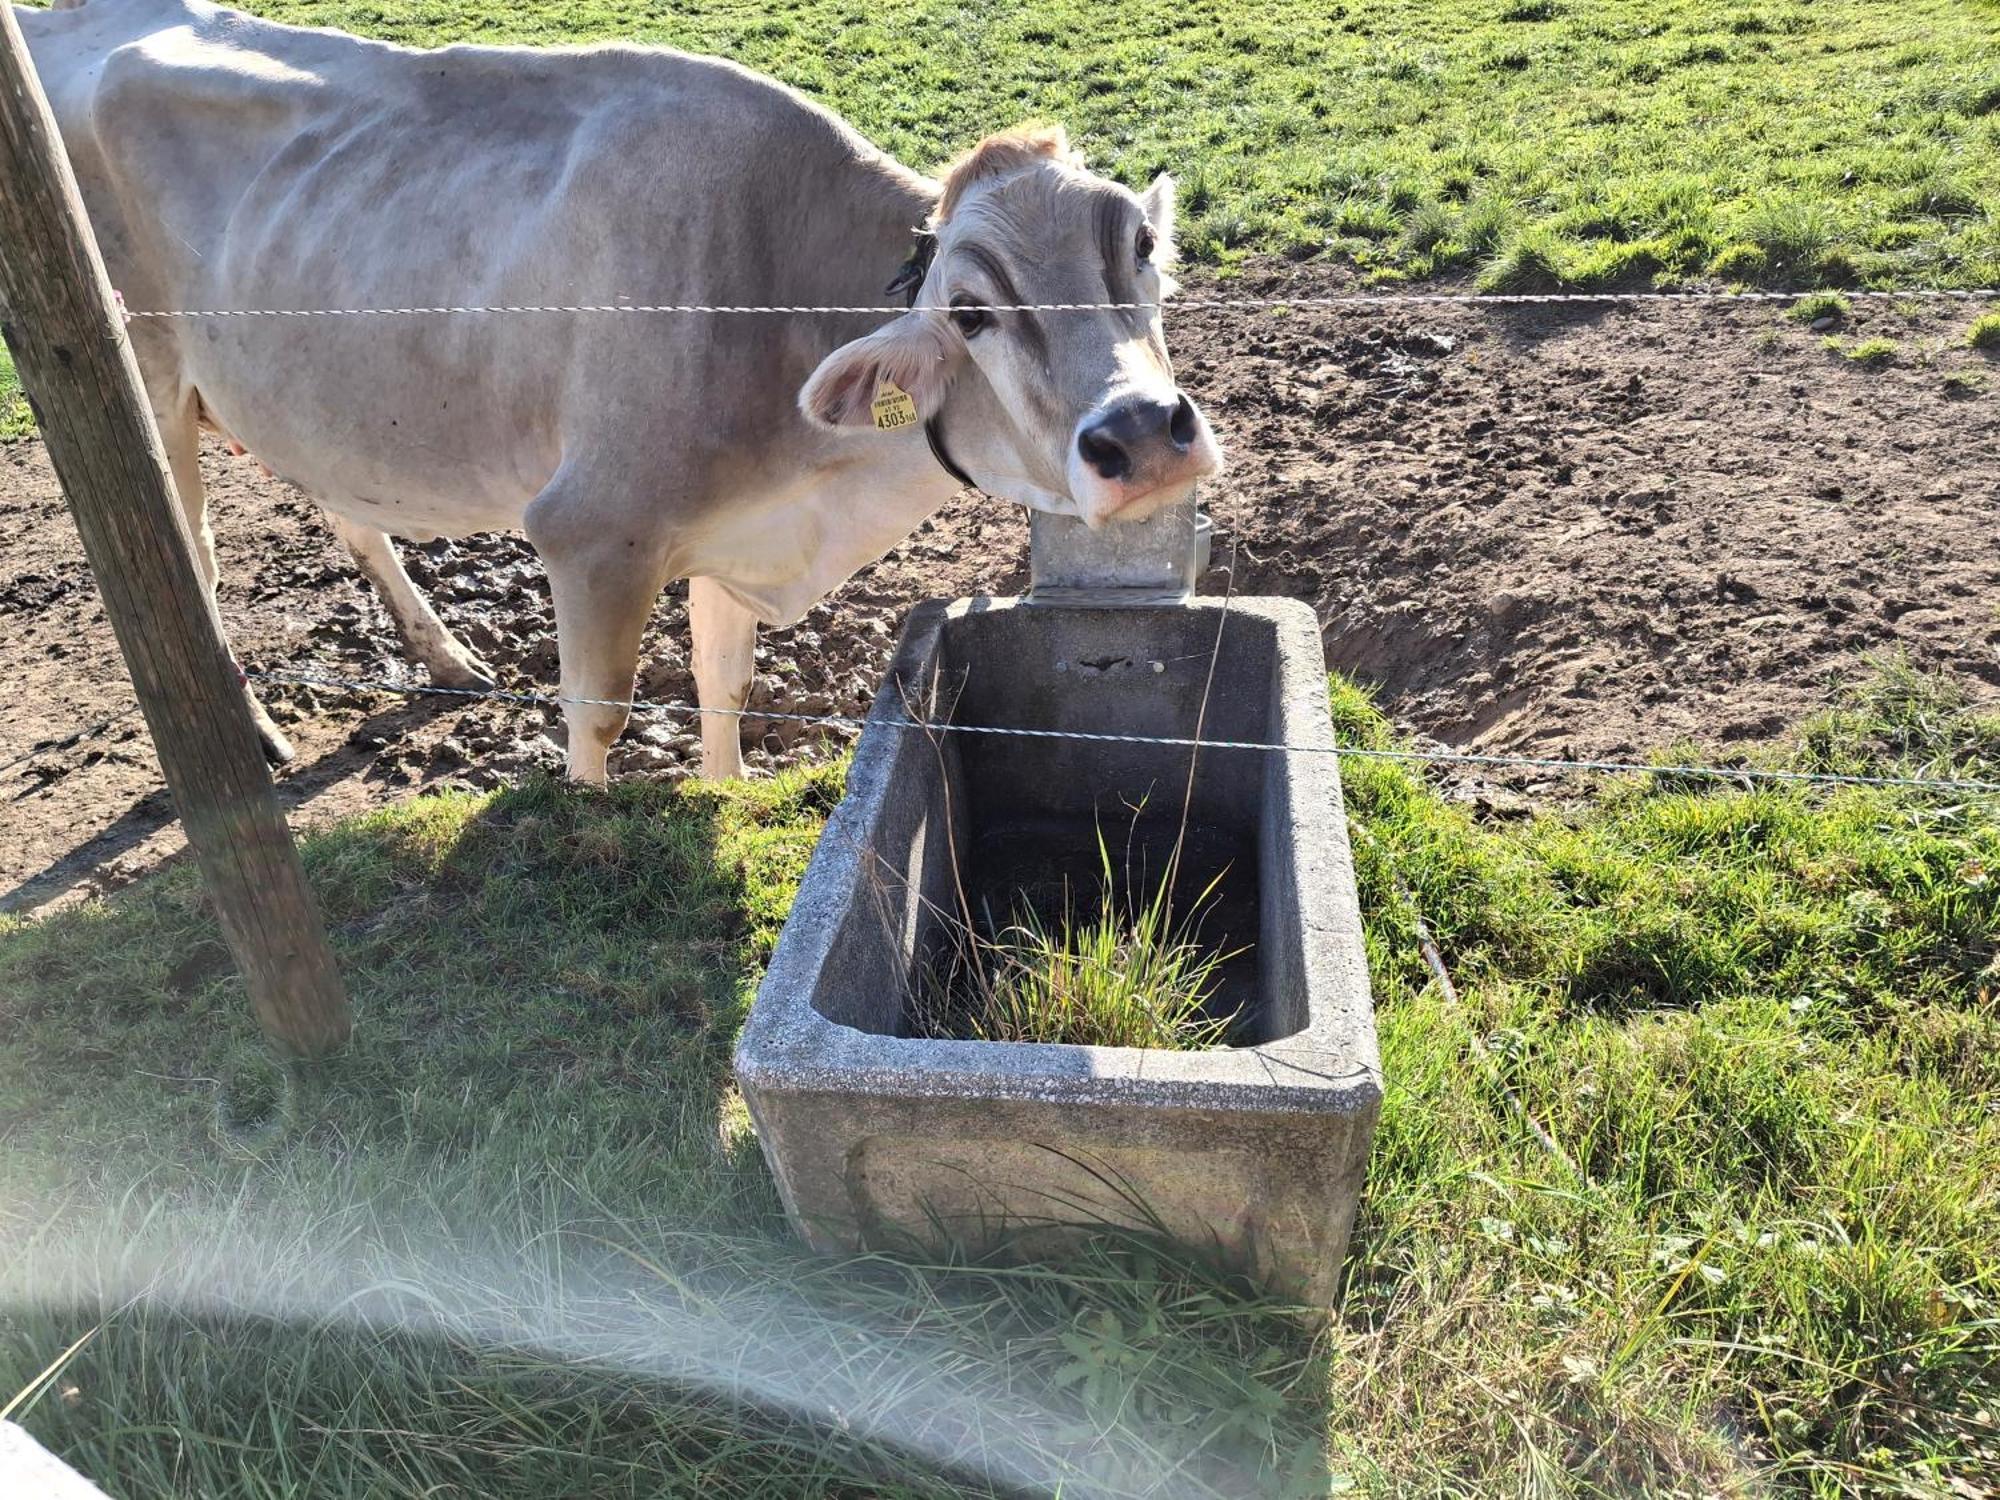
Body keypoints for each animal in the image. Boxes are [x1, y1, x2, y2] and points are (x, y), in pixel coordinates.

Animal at [19, 0, 1216, 780]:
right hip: (146, 380)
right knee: (190, 553)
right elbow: (595, 717)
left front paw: (724, 792)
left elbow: (724, 683)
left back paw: (442, 652)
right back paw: (252, 728)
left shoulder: (736, 533)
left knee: (347, 510)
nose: (1146, 434)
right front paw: (584, 815)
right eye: (969, 311)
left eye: (1142, 245)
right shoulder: (592, 531)